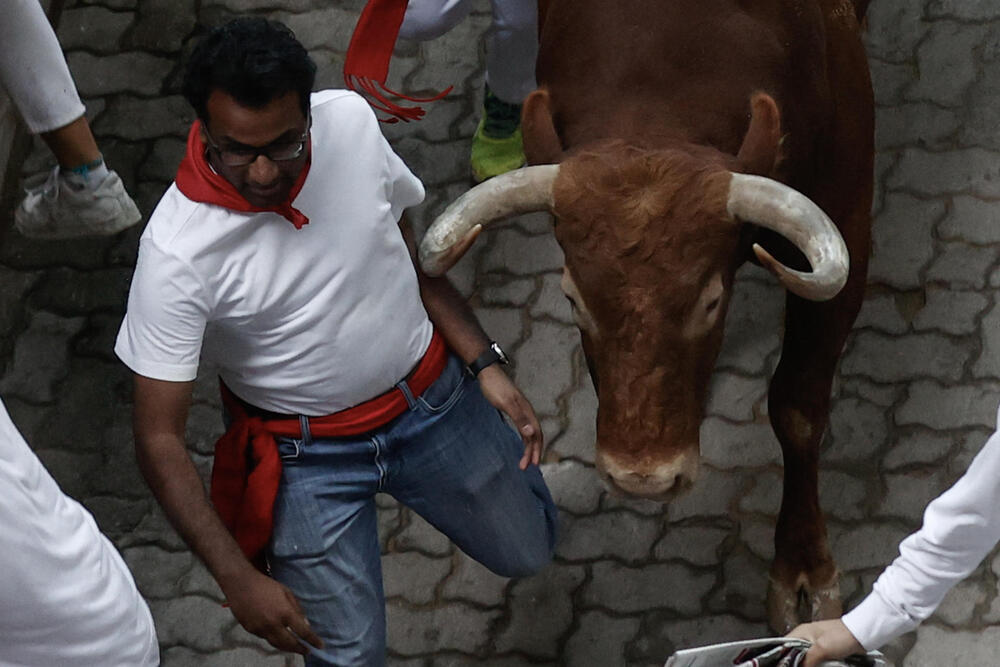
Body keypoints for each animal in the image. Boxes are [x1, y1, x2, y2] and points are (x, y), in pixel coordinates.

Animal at [418, 0, 872, 632]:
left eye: (711, 300)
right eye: (572, 297)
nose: (644, 476)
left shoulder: (847, 210)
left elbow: (799, 409)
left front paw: (803, 568)